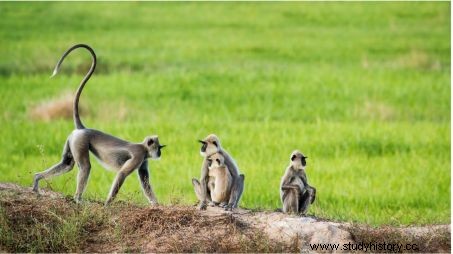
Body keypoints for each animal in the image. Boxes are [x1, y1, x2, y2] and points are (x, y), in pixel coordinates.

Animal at [32, 44, 166, 206]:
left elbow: (145, 182)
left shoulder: (144, 160)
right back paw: (78, 199)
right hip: (80, 141)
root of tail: (83, 129)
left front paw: (156, 205)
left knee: (67, 164)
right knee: (85, 167)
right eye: (158, 147)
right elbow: (122, 174)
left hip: (72, 139)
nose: (160, 153)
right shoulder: (139, 155)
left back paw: (37, 179)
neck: (143, 147)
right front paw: (107, 204)